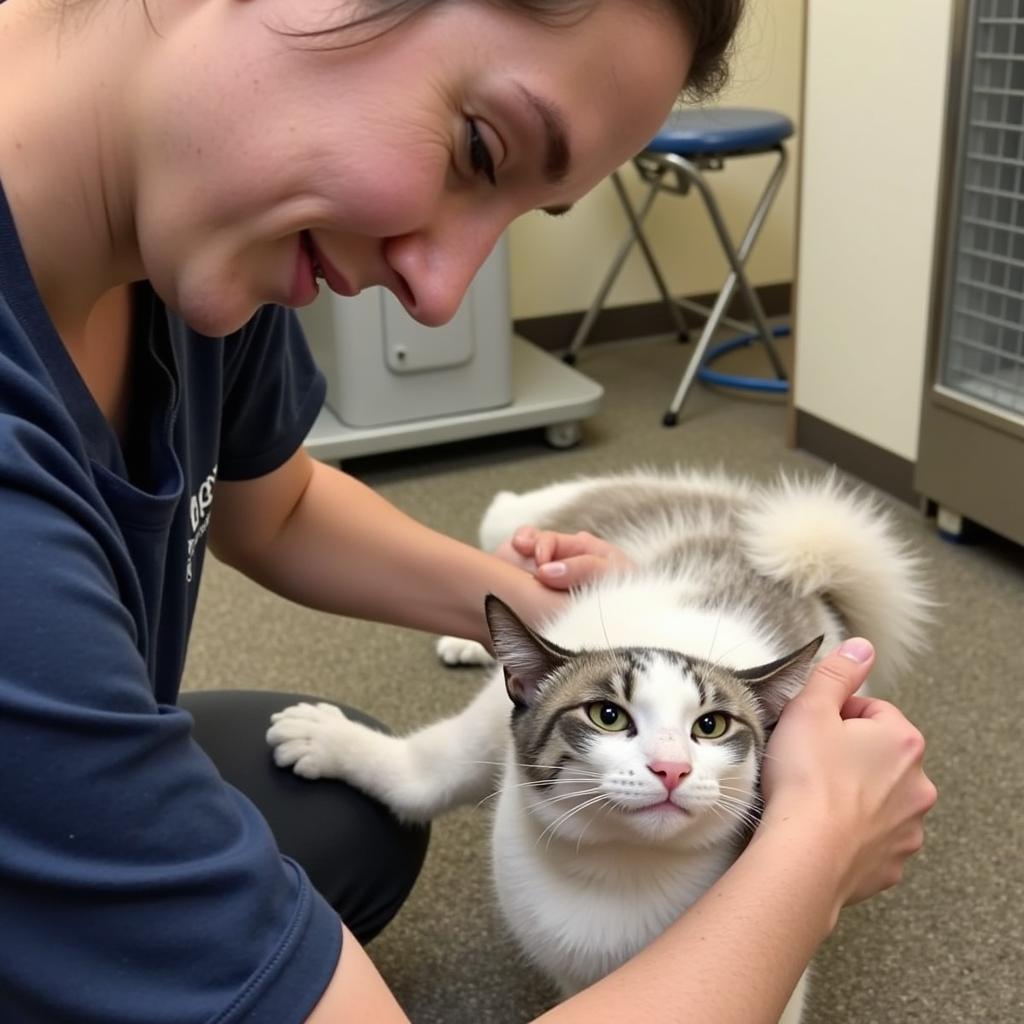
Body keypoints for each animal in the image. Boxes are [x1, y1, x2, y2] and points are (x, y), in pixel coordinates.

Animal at [266, 468, 929, 1019]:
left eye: (710, 726)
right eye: (608, 716)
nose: (671, 769)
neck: (618, 875)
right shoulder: (494, 723)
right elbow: (431, 769)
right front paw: (332, 740)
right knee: (510, 516)